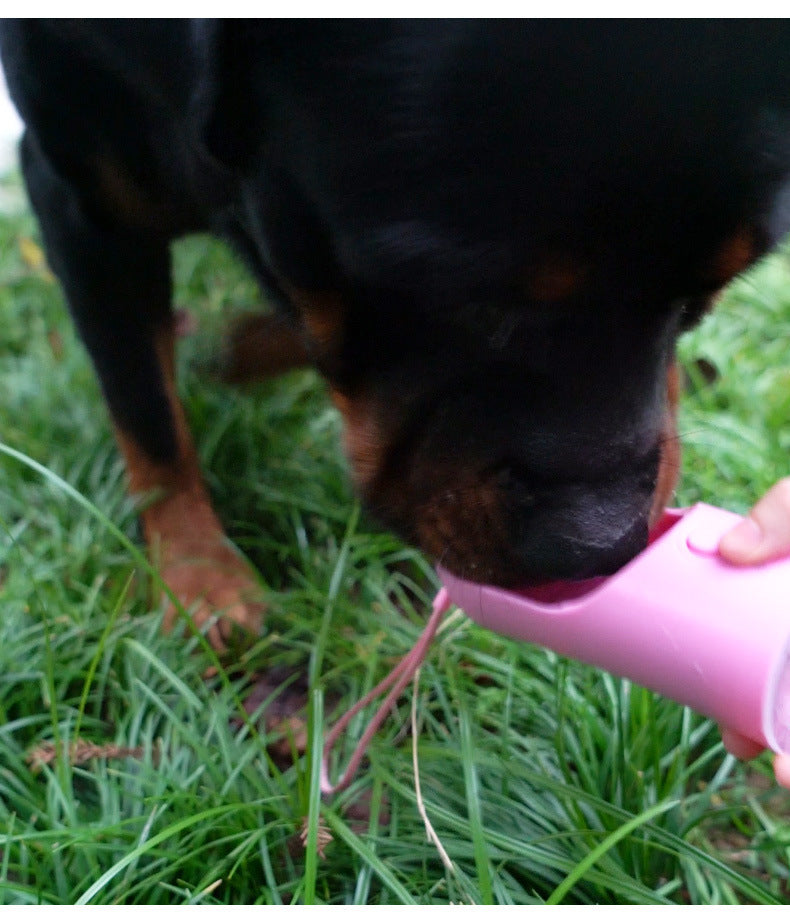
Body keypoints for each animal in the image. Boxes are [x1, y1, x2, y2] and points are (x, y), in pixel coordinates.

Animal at [1, 19, 790, 644]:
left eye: (703, 300)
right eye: (457, 297)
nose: (600, 544)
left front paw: (248, 347)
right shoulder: (73, 194)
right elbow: (147, 412)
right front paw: (199, 577)